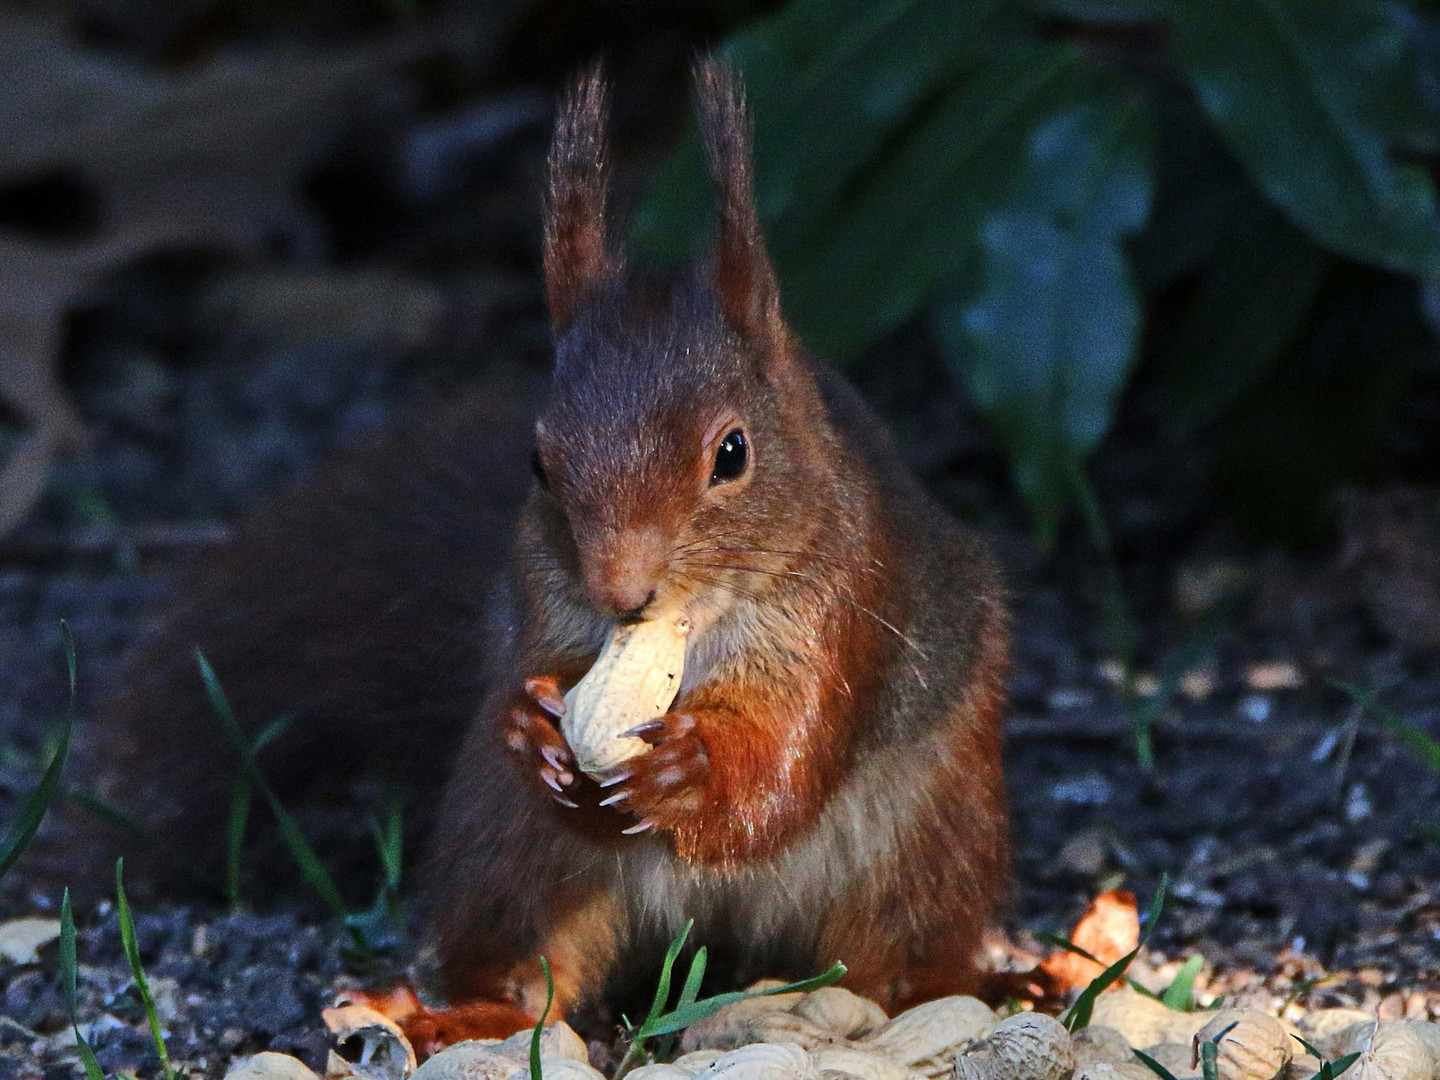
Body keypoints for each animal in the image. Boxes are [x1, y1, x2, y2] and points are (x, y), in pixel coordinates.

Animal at [61, 63, 1013, 1042]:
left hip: (928, 831)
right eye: (538, 462)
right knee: (525, 951)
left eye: (732, 453)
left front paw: (691, 773)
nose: (621, 590)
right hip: (504, 843)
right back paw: (459, 1013)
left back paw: (921, 993)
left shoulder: (845, 605)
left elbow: (790, 759)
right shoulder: (542, 605)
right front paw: (531, 728)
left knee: (904, 937)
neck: (682, 632)